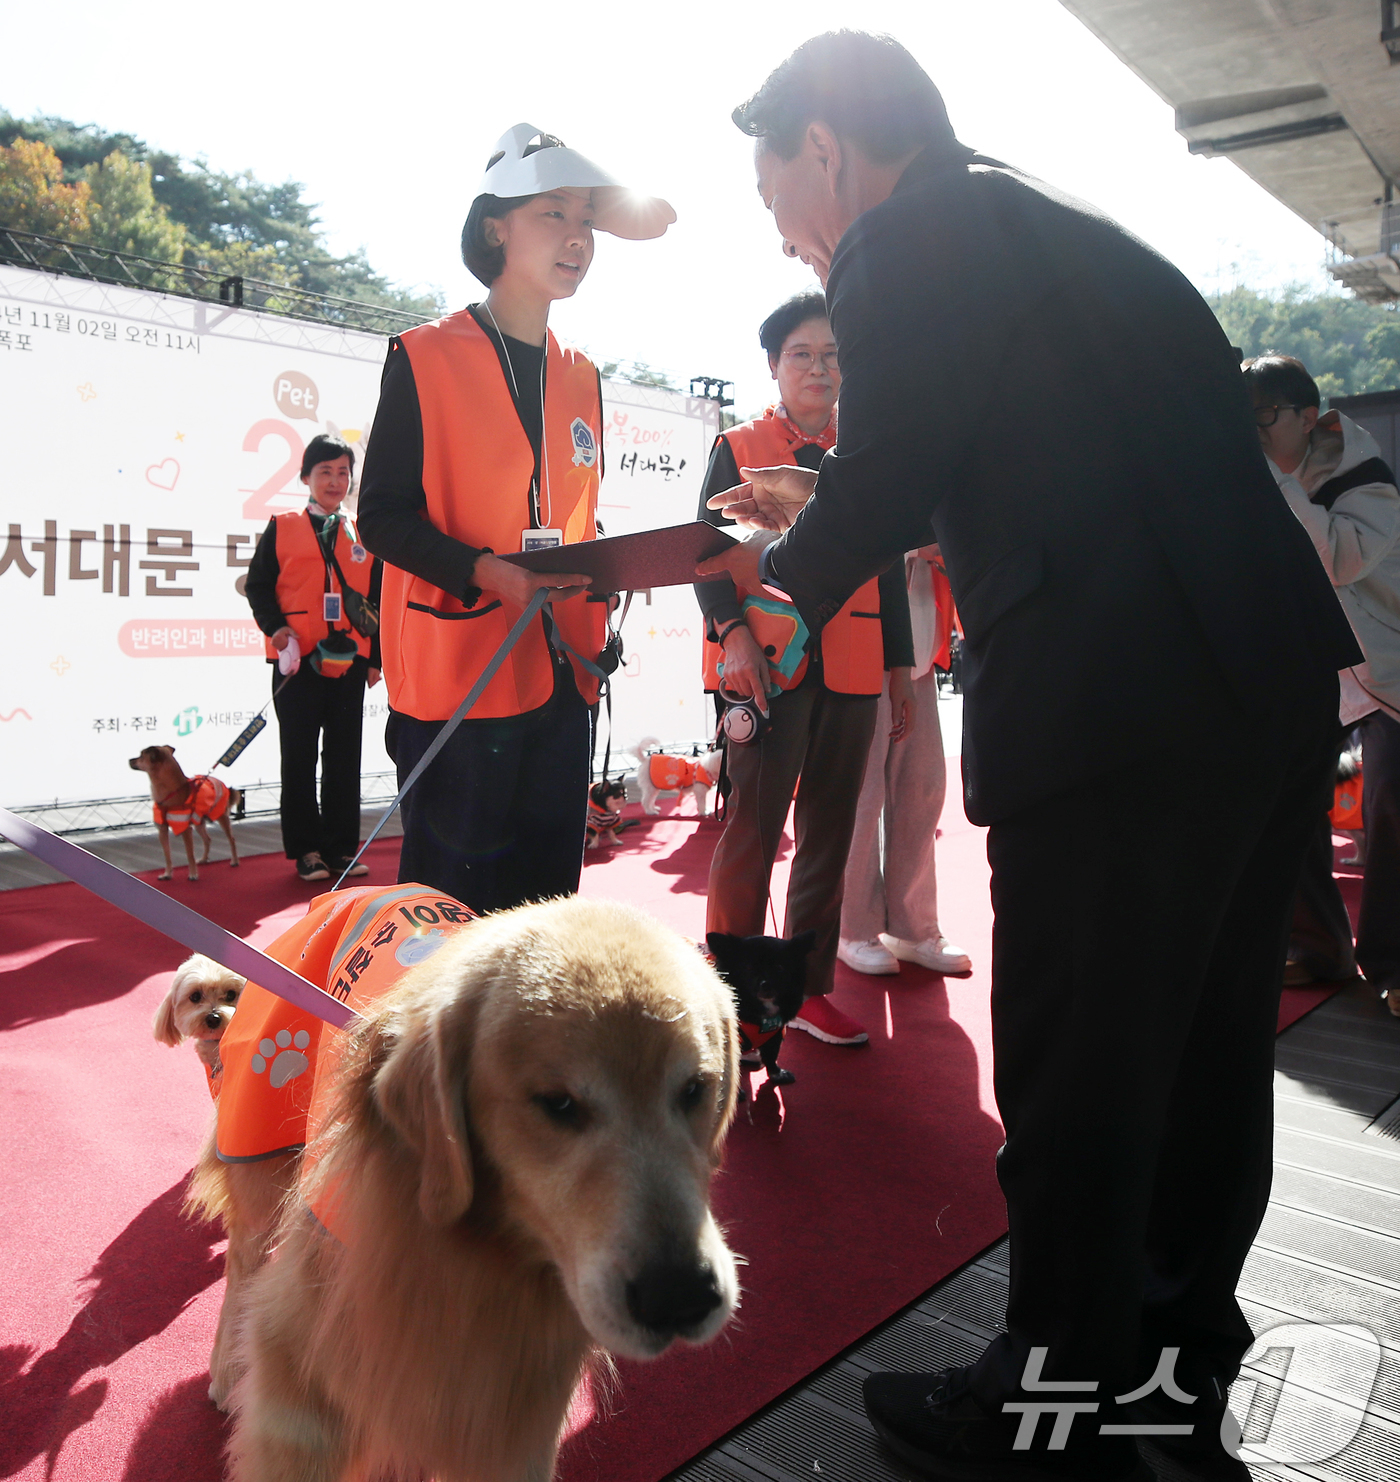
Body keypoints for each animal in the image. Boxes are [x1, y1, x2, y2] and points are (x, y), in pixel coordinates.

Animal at [128, 741, 239, 877]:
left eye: (141, 756)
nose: (129, 760)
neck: (170, 791)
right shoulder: (162, 830)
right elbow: (167, 855)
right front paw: (167, 874)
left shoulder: (185, 829)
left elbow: (190, 854)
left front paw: (193, 874)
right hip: (199, 821)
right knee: (207, 839)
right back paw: (203, 859)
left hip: (221, 816)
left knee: (231, 839)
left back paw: (234, 861)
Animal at [180, 883, 737, 1482]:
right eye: (558, 1103)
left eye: (696, 1088)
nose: (682, 1297)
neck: (472, 1260)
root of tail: (344, 889)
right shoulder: (301, 1384)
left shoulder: (512, 1420)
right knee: (241, 1271)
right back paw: (225, 1370)